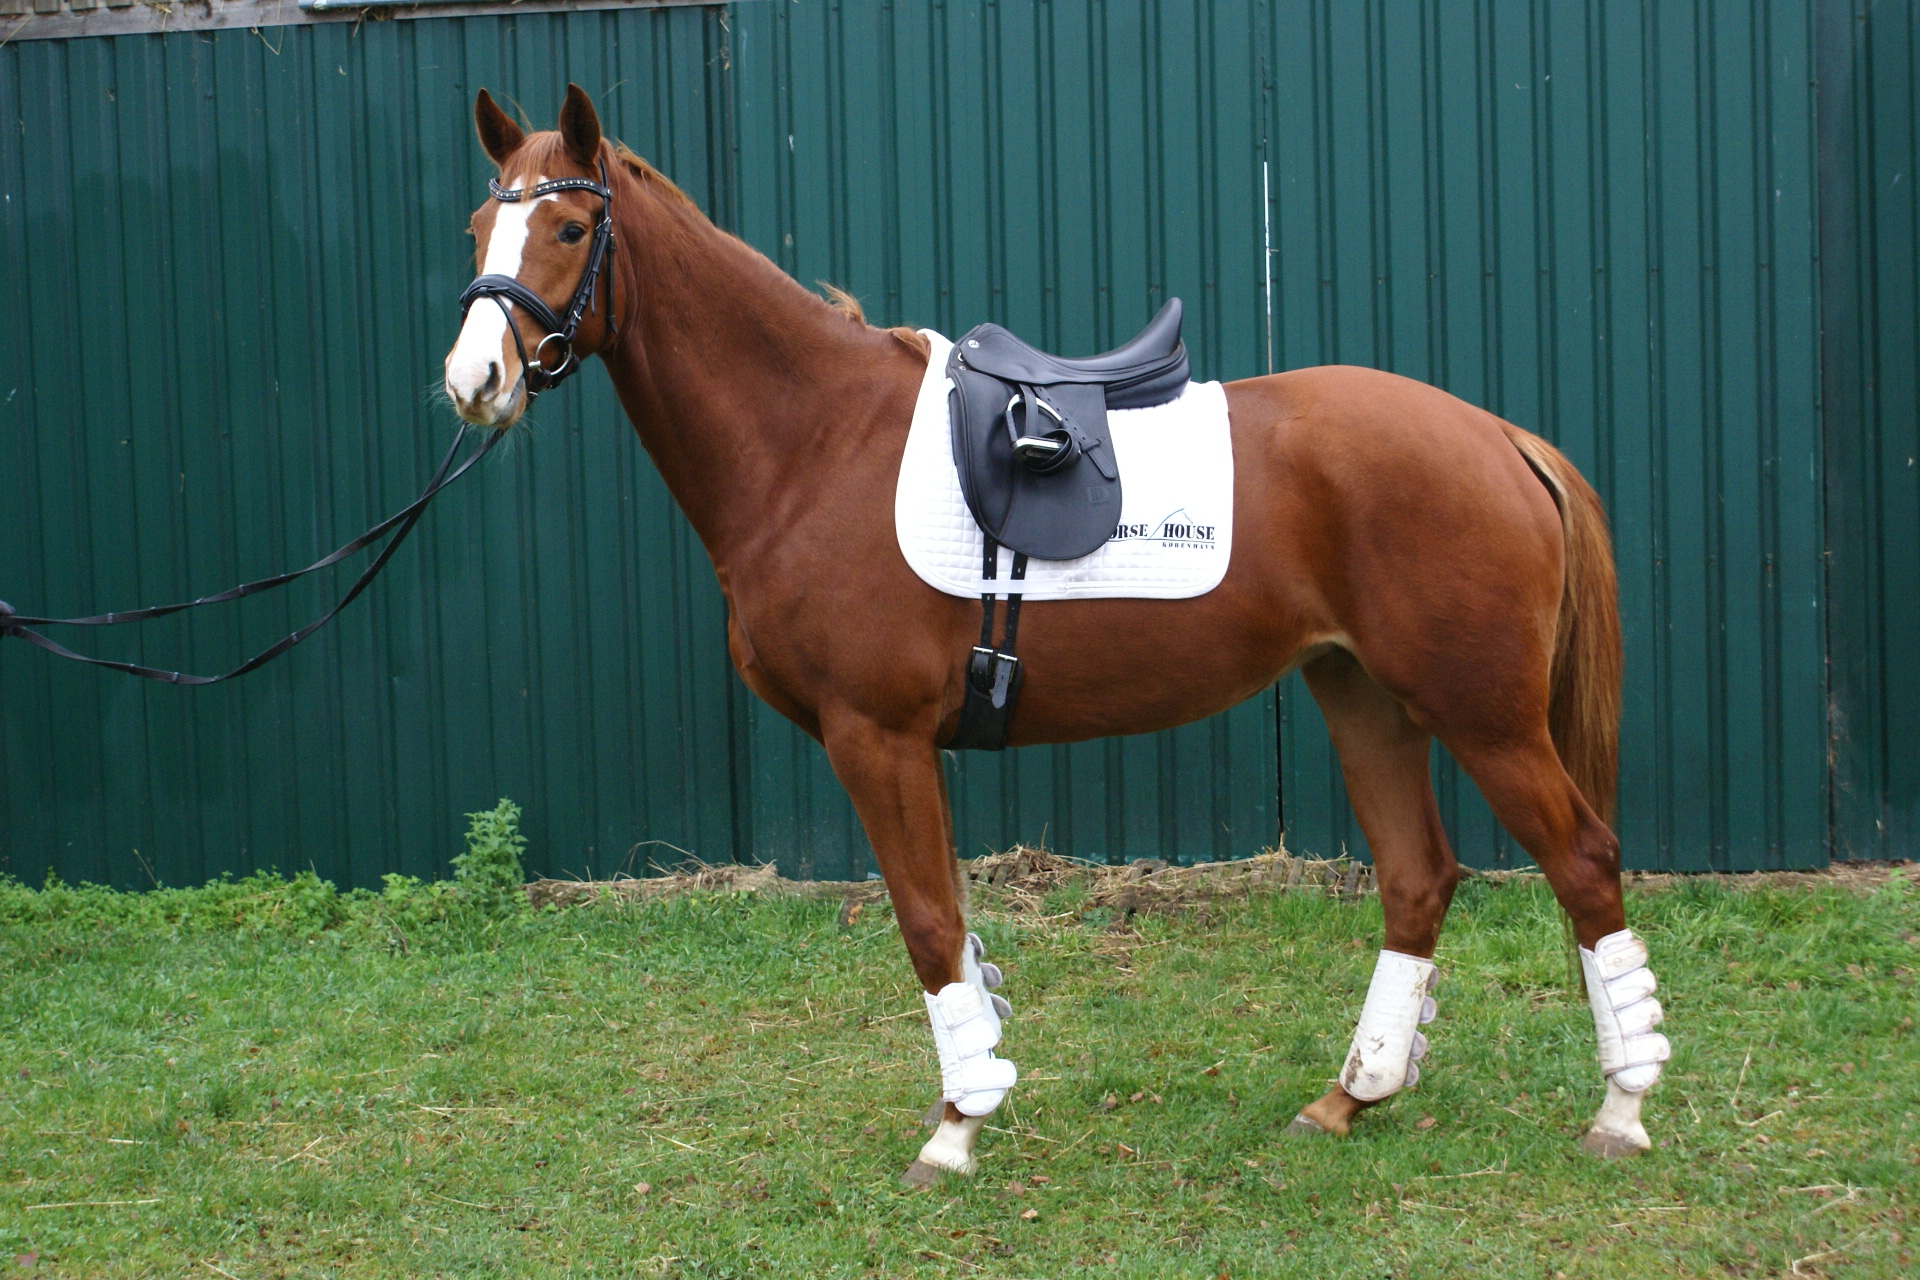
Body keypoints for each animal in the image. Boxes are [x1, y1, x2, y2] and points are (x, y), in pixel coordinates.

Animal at [442, 85, 1670, 1183]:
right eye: (477, 230)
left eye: (569, 227)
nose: (473, 380)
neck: (816, 442)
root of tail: (1500, 437)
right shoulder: (910, 748)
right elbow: (954, 930)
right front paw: (970, 1102)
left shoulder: (875, 737)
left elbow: (928, 926)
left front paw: (954, 1131)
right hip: (1362, 695)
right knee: (1418, 879)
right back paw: (1349, 1097)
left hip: (1485, 716)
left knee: (1582, 862)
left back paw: (1620, 1109)